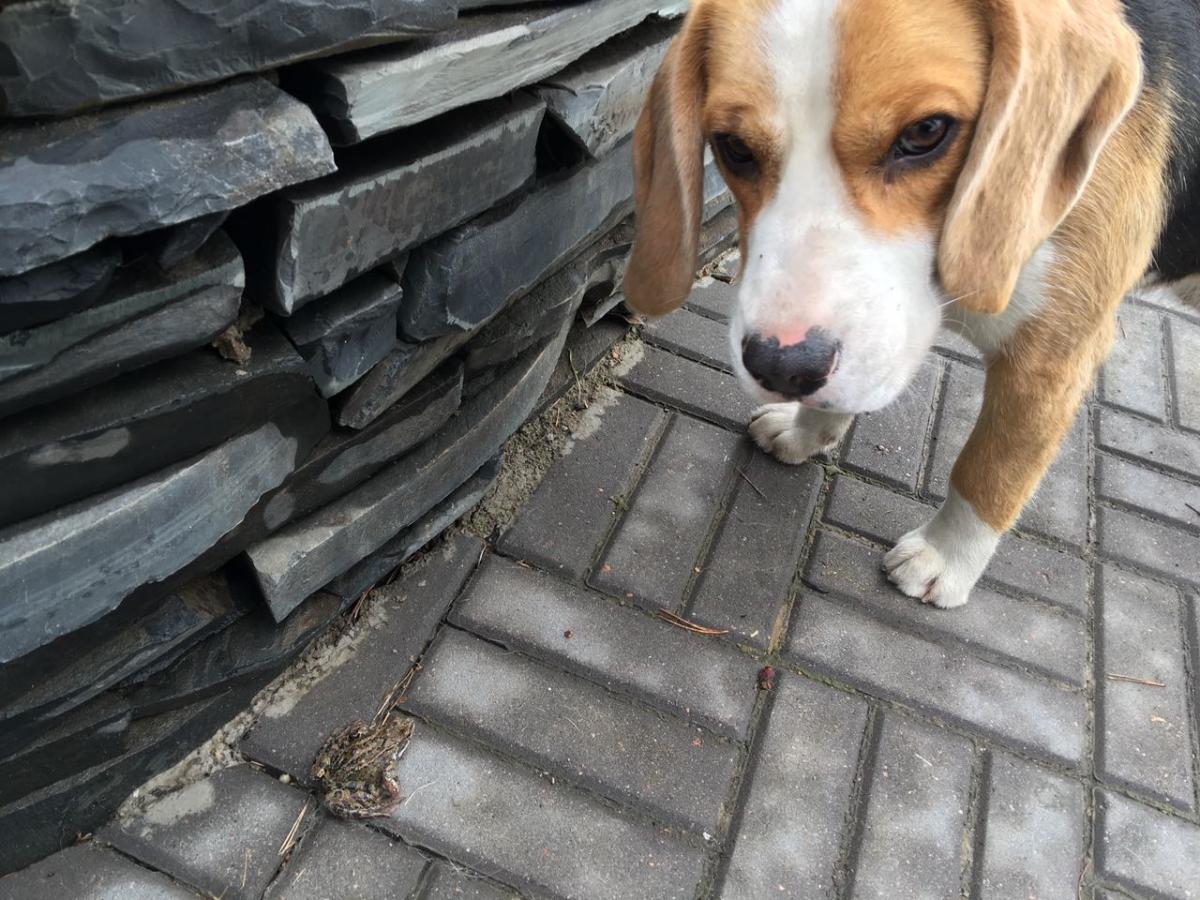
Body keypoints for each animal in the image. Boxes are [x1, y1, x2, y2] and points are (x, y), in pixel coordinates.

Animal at [622, 0, 1200, 608]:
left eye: (926, 132)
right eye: (733, 146)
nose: (780, 367)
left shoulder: (1052, 357)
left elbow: (990, 469)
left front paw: (945, 558)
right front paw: (805, 432)